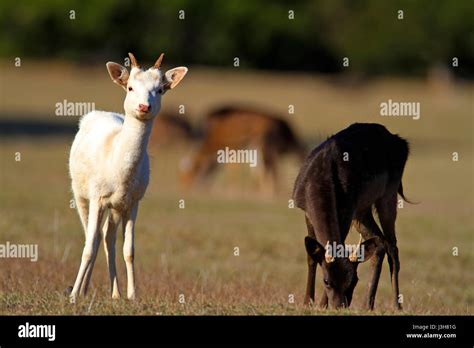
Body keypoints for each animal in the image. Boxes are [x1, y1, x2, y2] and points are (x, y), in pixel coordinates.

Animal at [68, 52, 187, 302]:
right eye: (130, 87)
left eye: (160, 89)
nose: (144, 105)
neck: (120, 175)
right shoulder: (97, 196)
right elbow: (88, 247)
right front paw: (73, 295)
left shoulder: (133, 201)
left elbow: (129, 250)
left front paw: (133, 295)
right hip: (80, 193)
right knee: (92, 236)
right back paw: (84, 289)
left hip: (116, 207)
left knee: (107, 237)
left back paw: (115, 293)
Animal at [290, 123, 410, 310]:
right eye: (326, 281)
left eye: (354, 281)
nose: (339, 306)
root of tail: (401, 142)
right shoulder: (306, 211)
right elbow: (312, 257)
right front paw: (307, 302)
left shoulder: (346, 211)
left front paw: (321, 305)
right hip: (362, 210)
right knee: (380, 242)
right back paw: (368, 305)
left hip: (388, 193)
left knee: (392, 246)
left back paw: (397, 306)